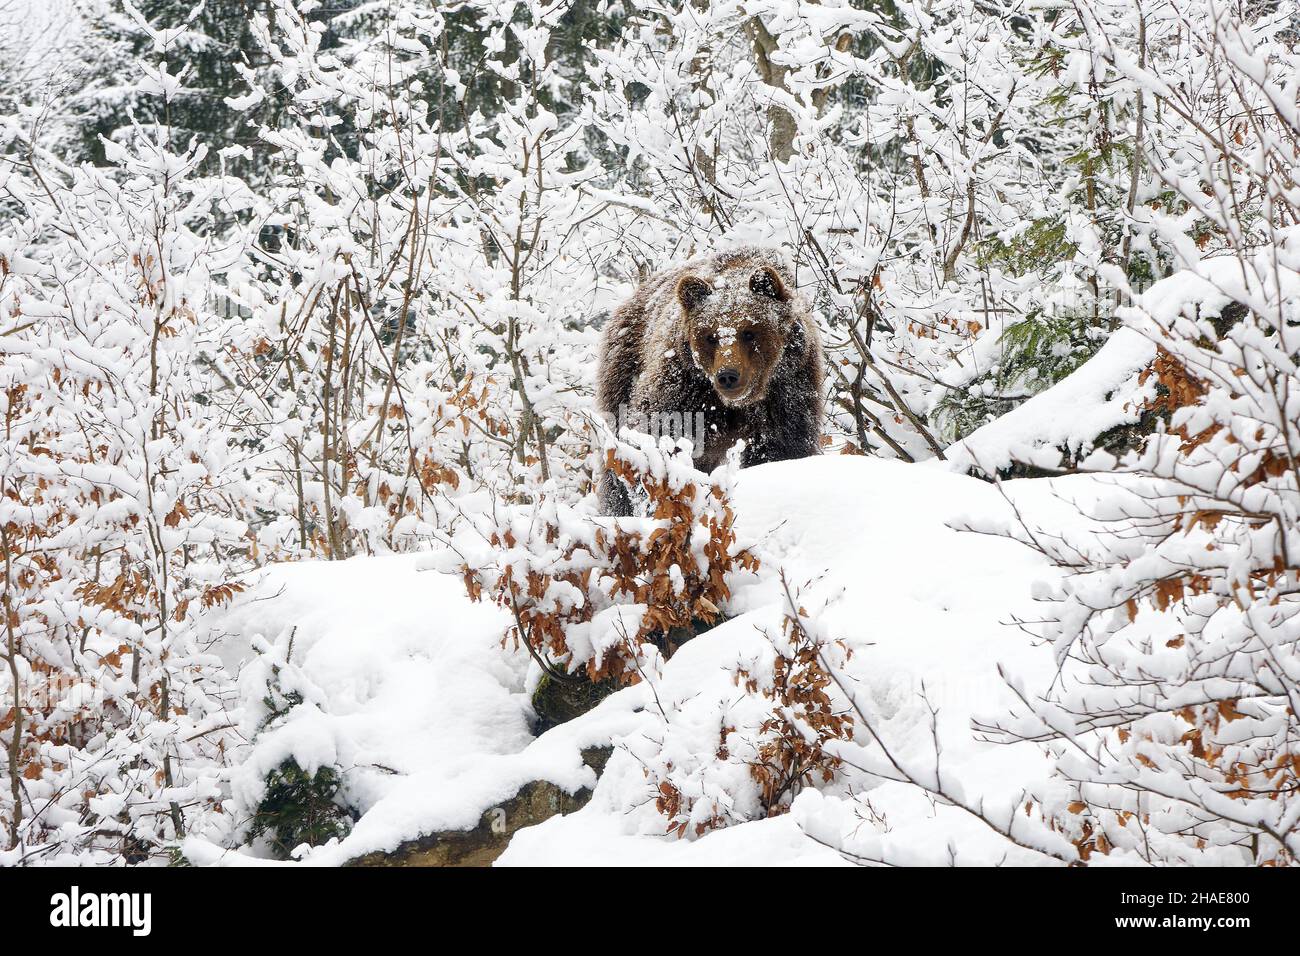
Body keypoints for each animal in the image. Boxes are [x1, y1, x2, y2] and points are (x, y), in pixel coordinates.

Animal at [595, 247, 821, 515]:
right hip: (625, 366)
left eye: (749, 332)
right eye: (710, 336)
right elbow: (660, 440)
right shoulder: (684, 387)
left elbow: (782, 446)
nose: (728, 375)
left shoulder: (787, 389)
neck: (736, 405)